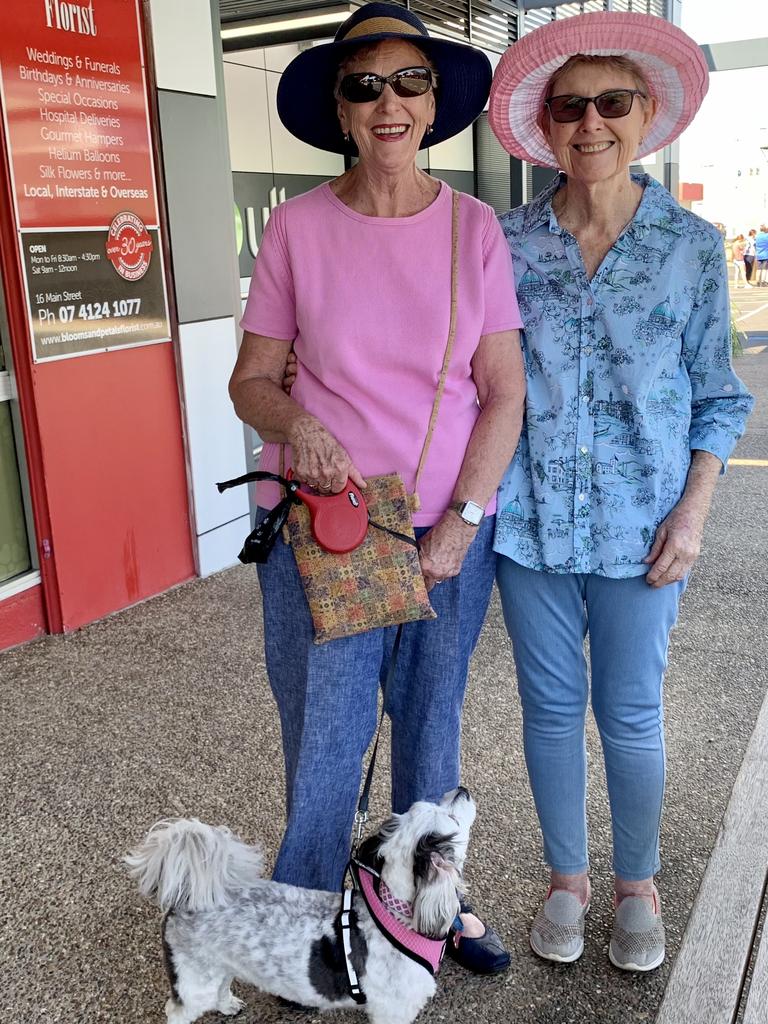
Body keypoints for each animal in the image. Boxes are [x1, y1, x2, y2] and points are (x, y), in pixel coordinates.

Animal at [125, 786, 475, 1019]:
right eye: (450, 818)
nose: (462, 789)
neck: (394, 913)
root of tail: (187, 898)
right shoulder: (393, 1012)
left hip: (218, 966)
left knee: (221, 987)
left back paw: (227, 1005)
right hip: (193, 982)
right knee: (176, 1010)